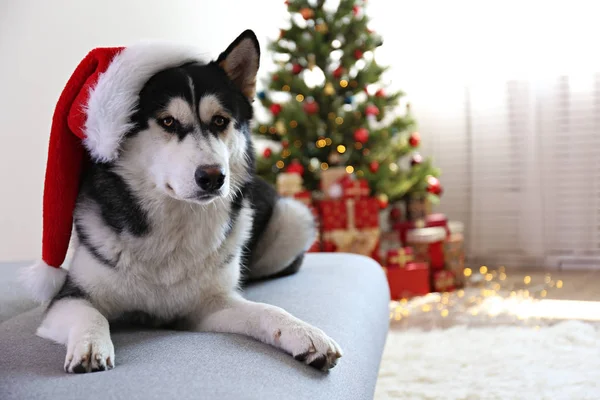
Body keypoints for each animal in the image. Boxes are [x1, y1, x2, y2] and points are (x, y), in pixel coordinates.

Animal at [36, 30, 342, 372]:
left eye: (220, 121)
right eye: (168, 121)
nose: (213, 177)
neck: (177, 222)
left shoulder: (208, 306)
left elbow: (267, 311)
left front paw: (304, 334)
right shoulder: (70, 297)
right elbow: (91, 315)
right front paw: (90, 344)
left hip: (293, 218)